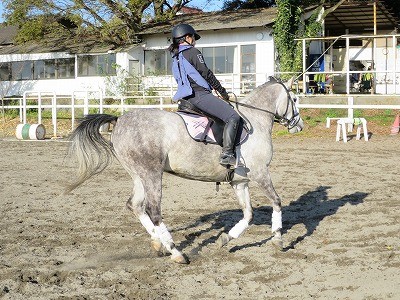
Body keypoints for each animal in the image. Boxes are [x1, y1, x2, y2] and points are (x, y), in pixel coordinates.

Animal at [65, 77, 304, 262]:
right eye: (294, 99)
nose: (299, 126)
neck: (255, 120)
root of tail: (119, 119)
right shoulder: (261, 173)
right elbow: (276, 202)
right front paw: (278, 238)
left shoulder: (240, 181)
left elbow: (249, 214)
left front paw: (226, 238)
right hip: (152, 173)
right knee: (153, 211)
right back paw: (176, 252)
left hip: (138, 175)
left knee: (136, 205)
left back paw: (158, 242)